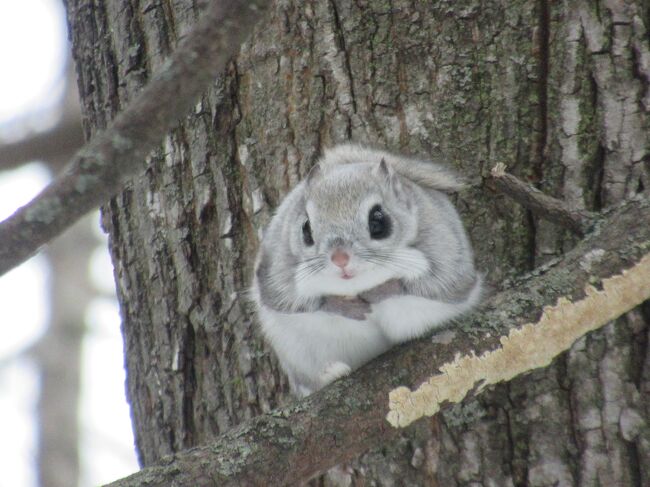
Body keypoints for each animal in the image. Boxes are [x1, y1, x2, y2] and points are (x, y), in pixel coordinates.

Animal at [251, 144, 478, 396]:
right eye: (306, 228)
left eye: (378, 220)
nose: (340, 258)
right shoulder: (277, 274)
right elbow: (297, 302)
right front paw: (345, 306)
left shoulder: (445, 254)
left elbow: (430, 284)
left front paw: (377, 292)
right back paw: (331, 374)